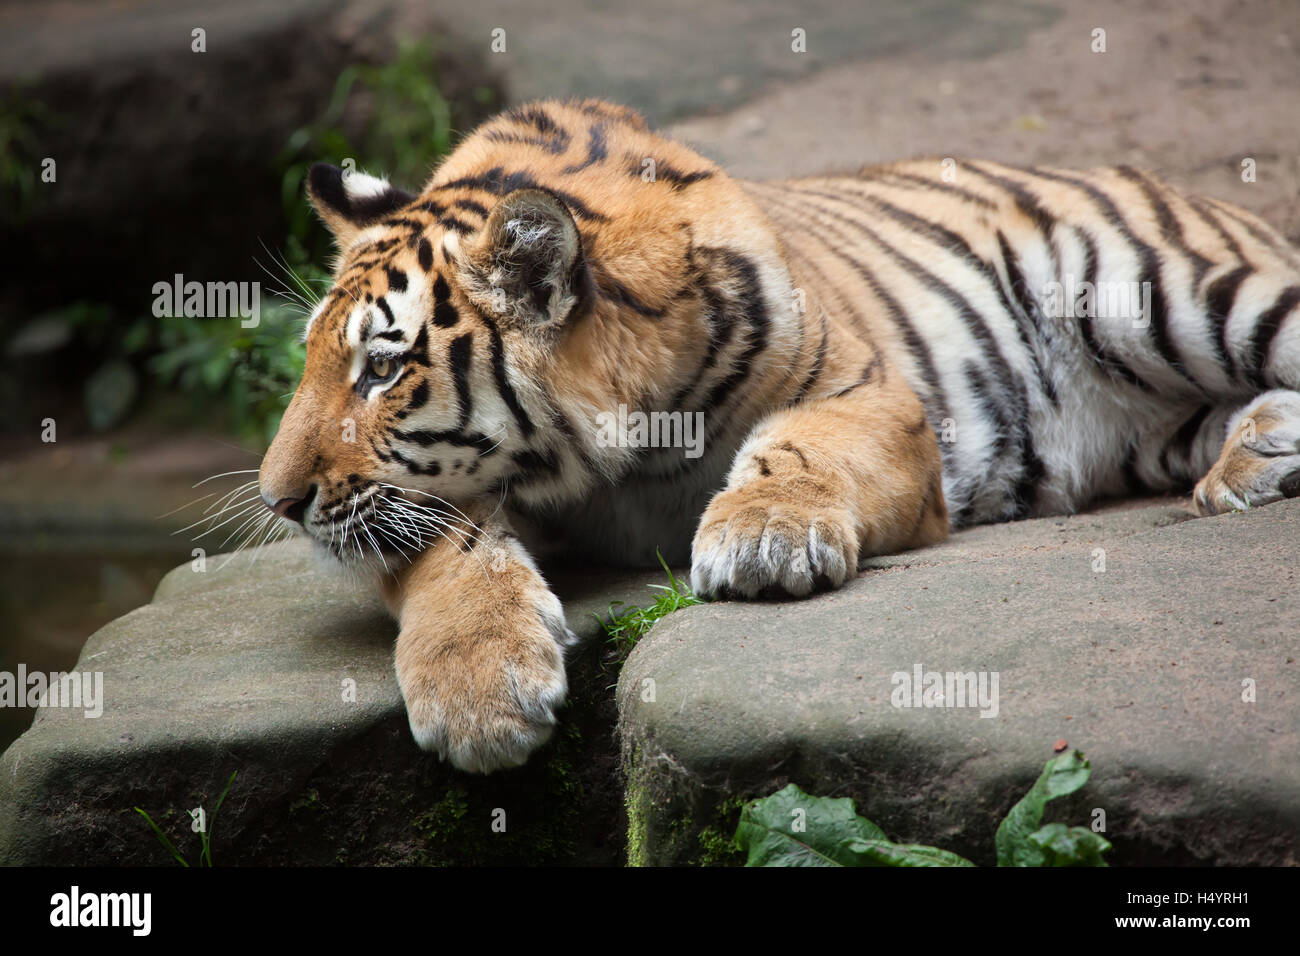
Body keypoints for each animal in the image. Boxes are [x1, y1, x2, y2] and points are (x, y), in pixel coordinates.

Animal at [258, 97, 1300, 775]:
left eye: (381, 369)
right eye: (312, 360)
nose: (278, 500)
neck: (621, 460)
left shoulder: (870, 393)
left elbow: (800, 449)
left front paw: (764, 538)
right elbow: (443, 547)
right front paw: (478, 690)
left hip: (1168, 290)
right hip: (1149, 420)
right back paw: (1250, 460)